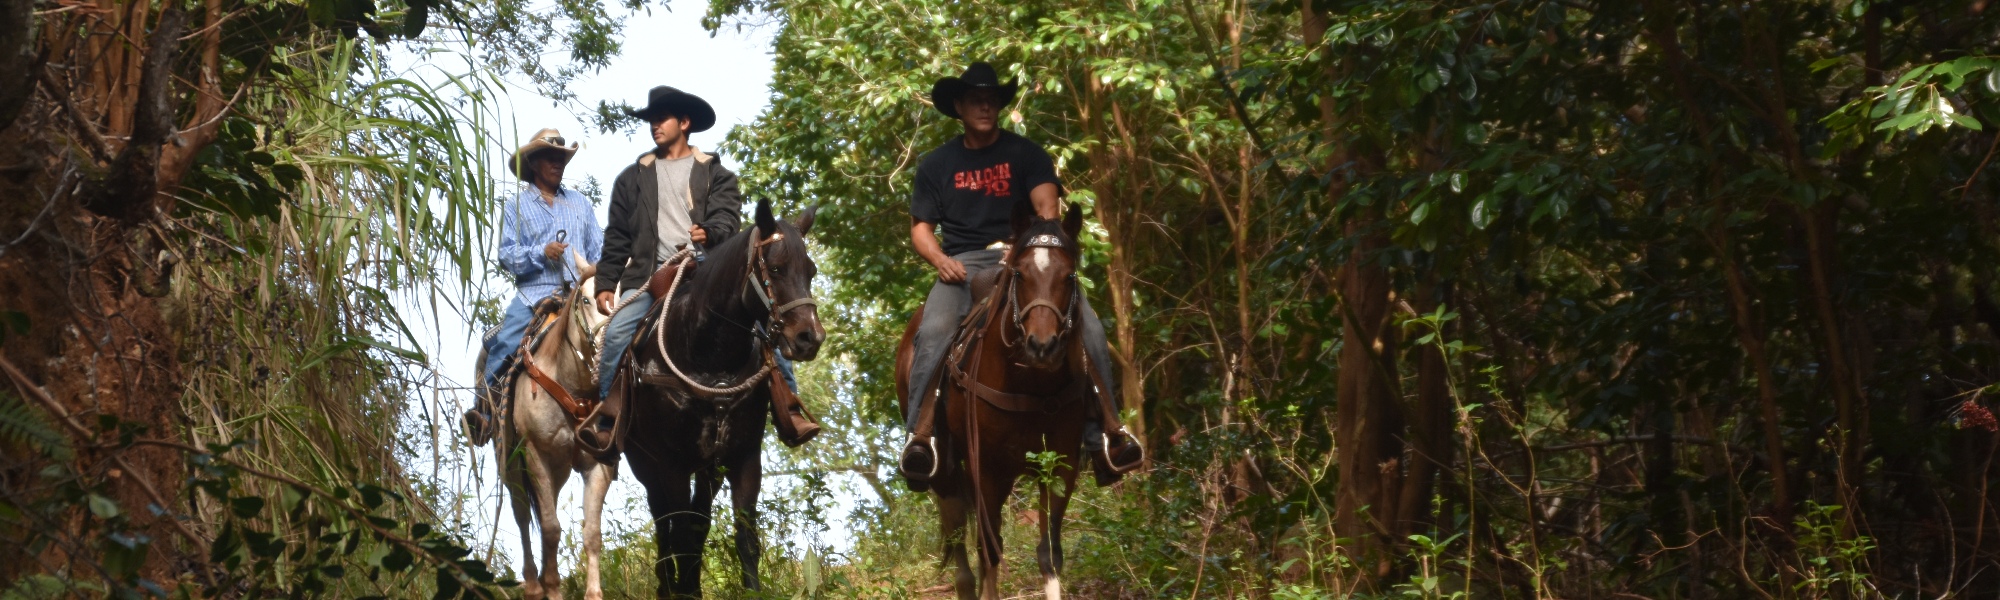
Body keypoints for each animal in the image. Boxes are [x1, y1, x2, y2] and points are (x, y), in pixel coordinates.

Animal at [616, 199, 820, 596]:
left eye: (812, 271)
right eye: (775, 268)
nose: (810, 338)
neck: (710, 360)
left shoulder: (742, 457)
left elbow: (744, 537)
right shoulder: (672, 465)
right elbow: (679, 533)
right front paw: (681, 589)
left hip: (708, 469)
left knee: (697, 521)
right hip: (646, 464)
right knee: (664, 521)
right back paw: (667, 583)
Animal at [904, 203, 1104, 600]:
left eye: (1070, 275)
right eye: (1020, 274)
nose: (1042, 346)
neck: (1029, 381)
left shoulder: (1060, 464)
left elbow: (1048, 553)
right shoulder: (985, 466)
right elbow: (989, 547)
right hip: (945, 467)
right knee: (958, 530)